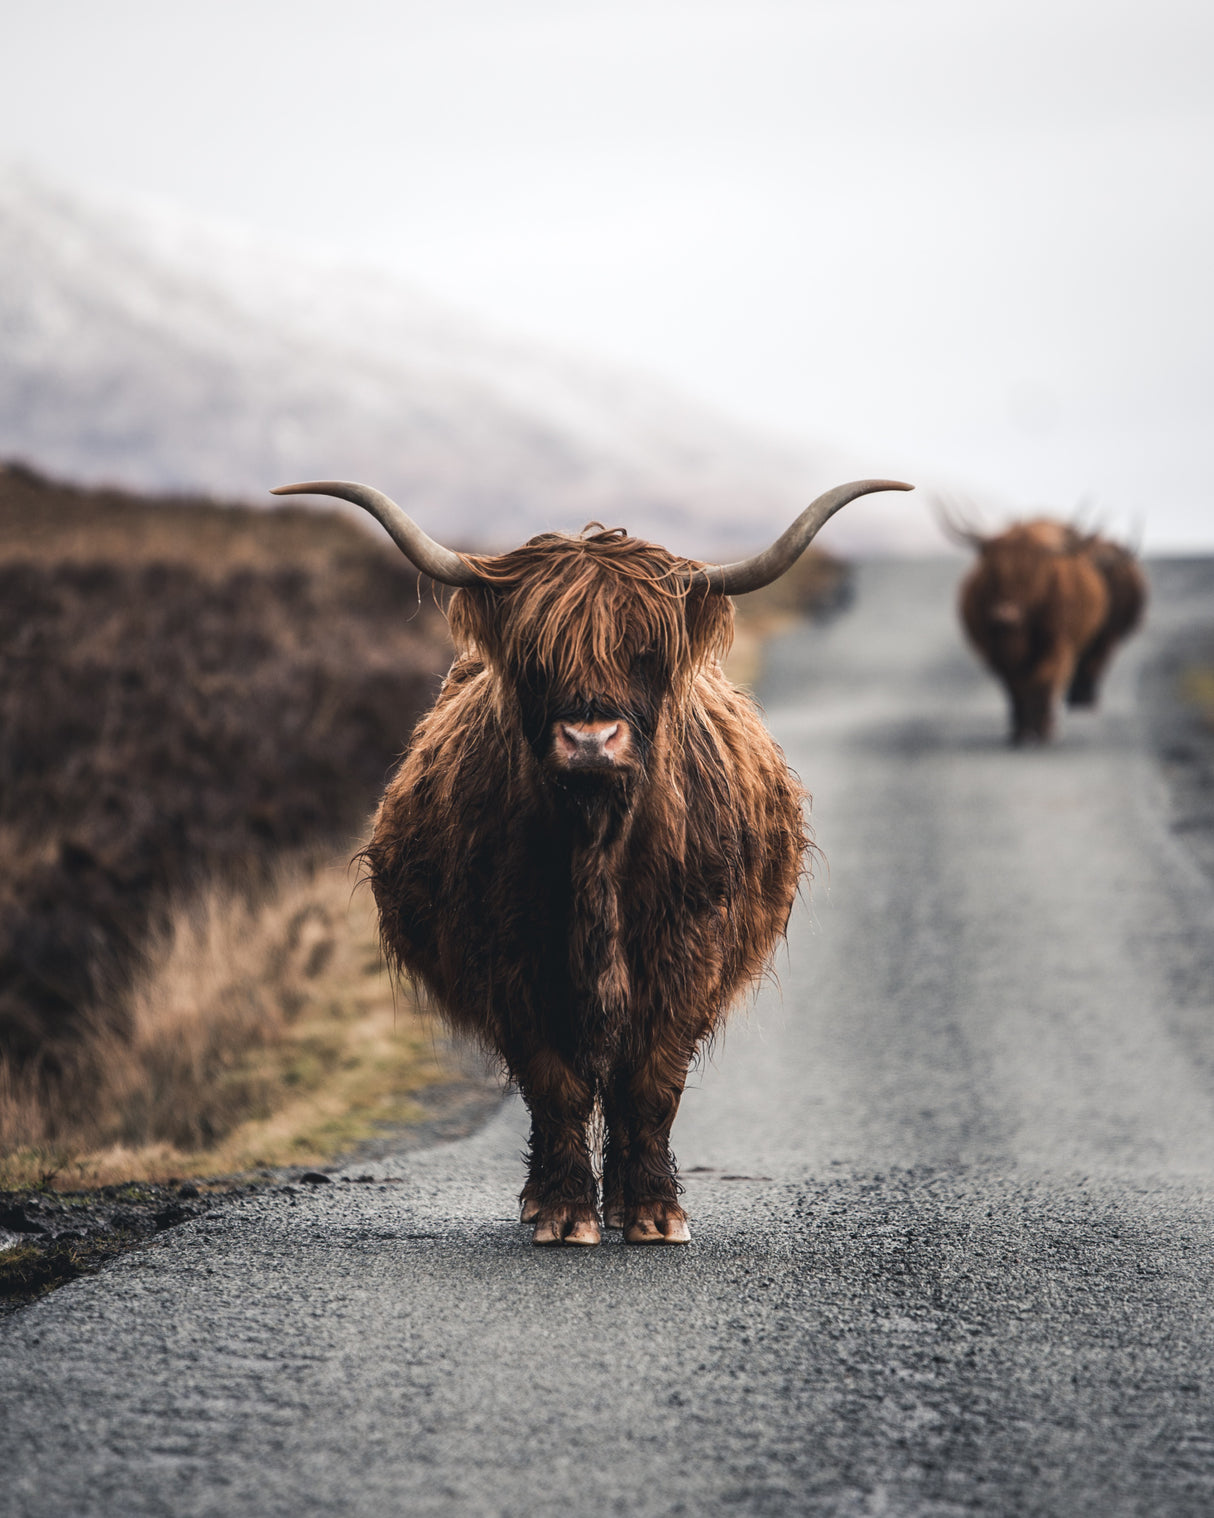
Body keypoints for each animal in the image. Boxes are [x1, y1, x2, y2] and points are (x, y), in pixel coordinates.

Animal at [272, 476, 911, 1245]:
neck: (597, 840)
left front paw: (654, 1212)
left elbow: (651, 1082)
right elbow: (554, 1083)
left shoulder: (687, 952)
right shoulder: (510, 959)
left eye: (646, 653)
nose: (589, 740)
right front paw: (565, 1211)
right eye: (536, 657)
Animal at [954, 518, 1111, 744]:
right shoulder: (998, 655)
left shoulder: (1056, 647)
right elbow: (1015, 687)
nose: (1005, 614)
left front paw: (1044, 729)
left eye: (1036, 573)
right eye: (993, 571)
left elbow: (1044, 682)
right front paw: (1021, 732)